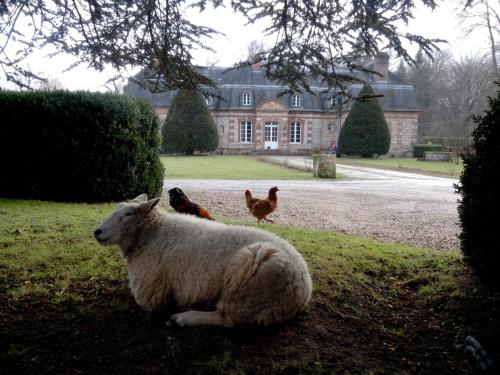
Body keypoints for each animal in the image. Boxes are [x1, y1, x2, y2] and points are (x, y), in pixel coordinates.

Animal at [93, 195, 312, 328]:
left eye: (128, 214)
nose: (97, 232)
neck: (152, 234)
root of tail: (305, 289)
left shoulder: (151, 295)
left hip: (247, 291)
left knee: (227, 318)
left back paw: (184, 317)